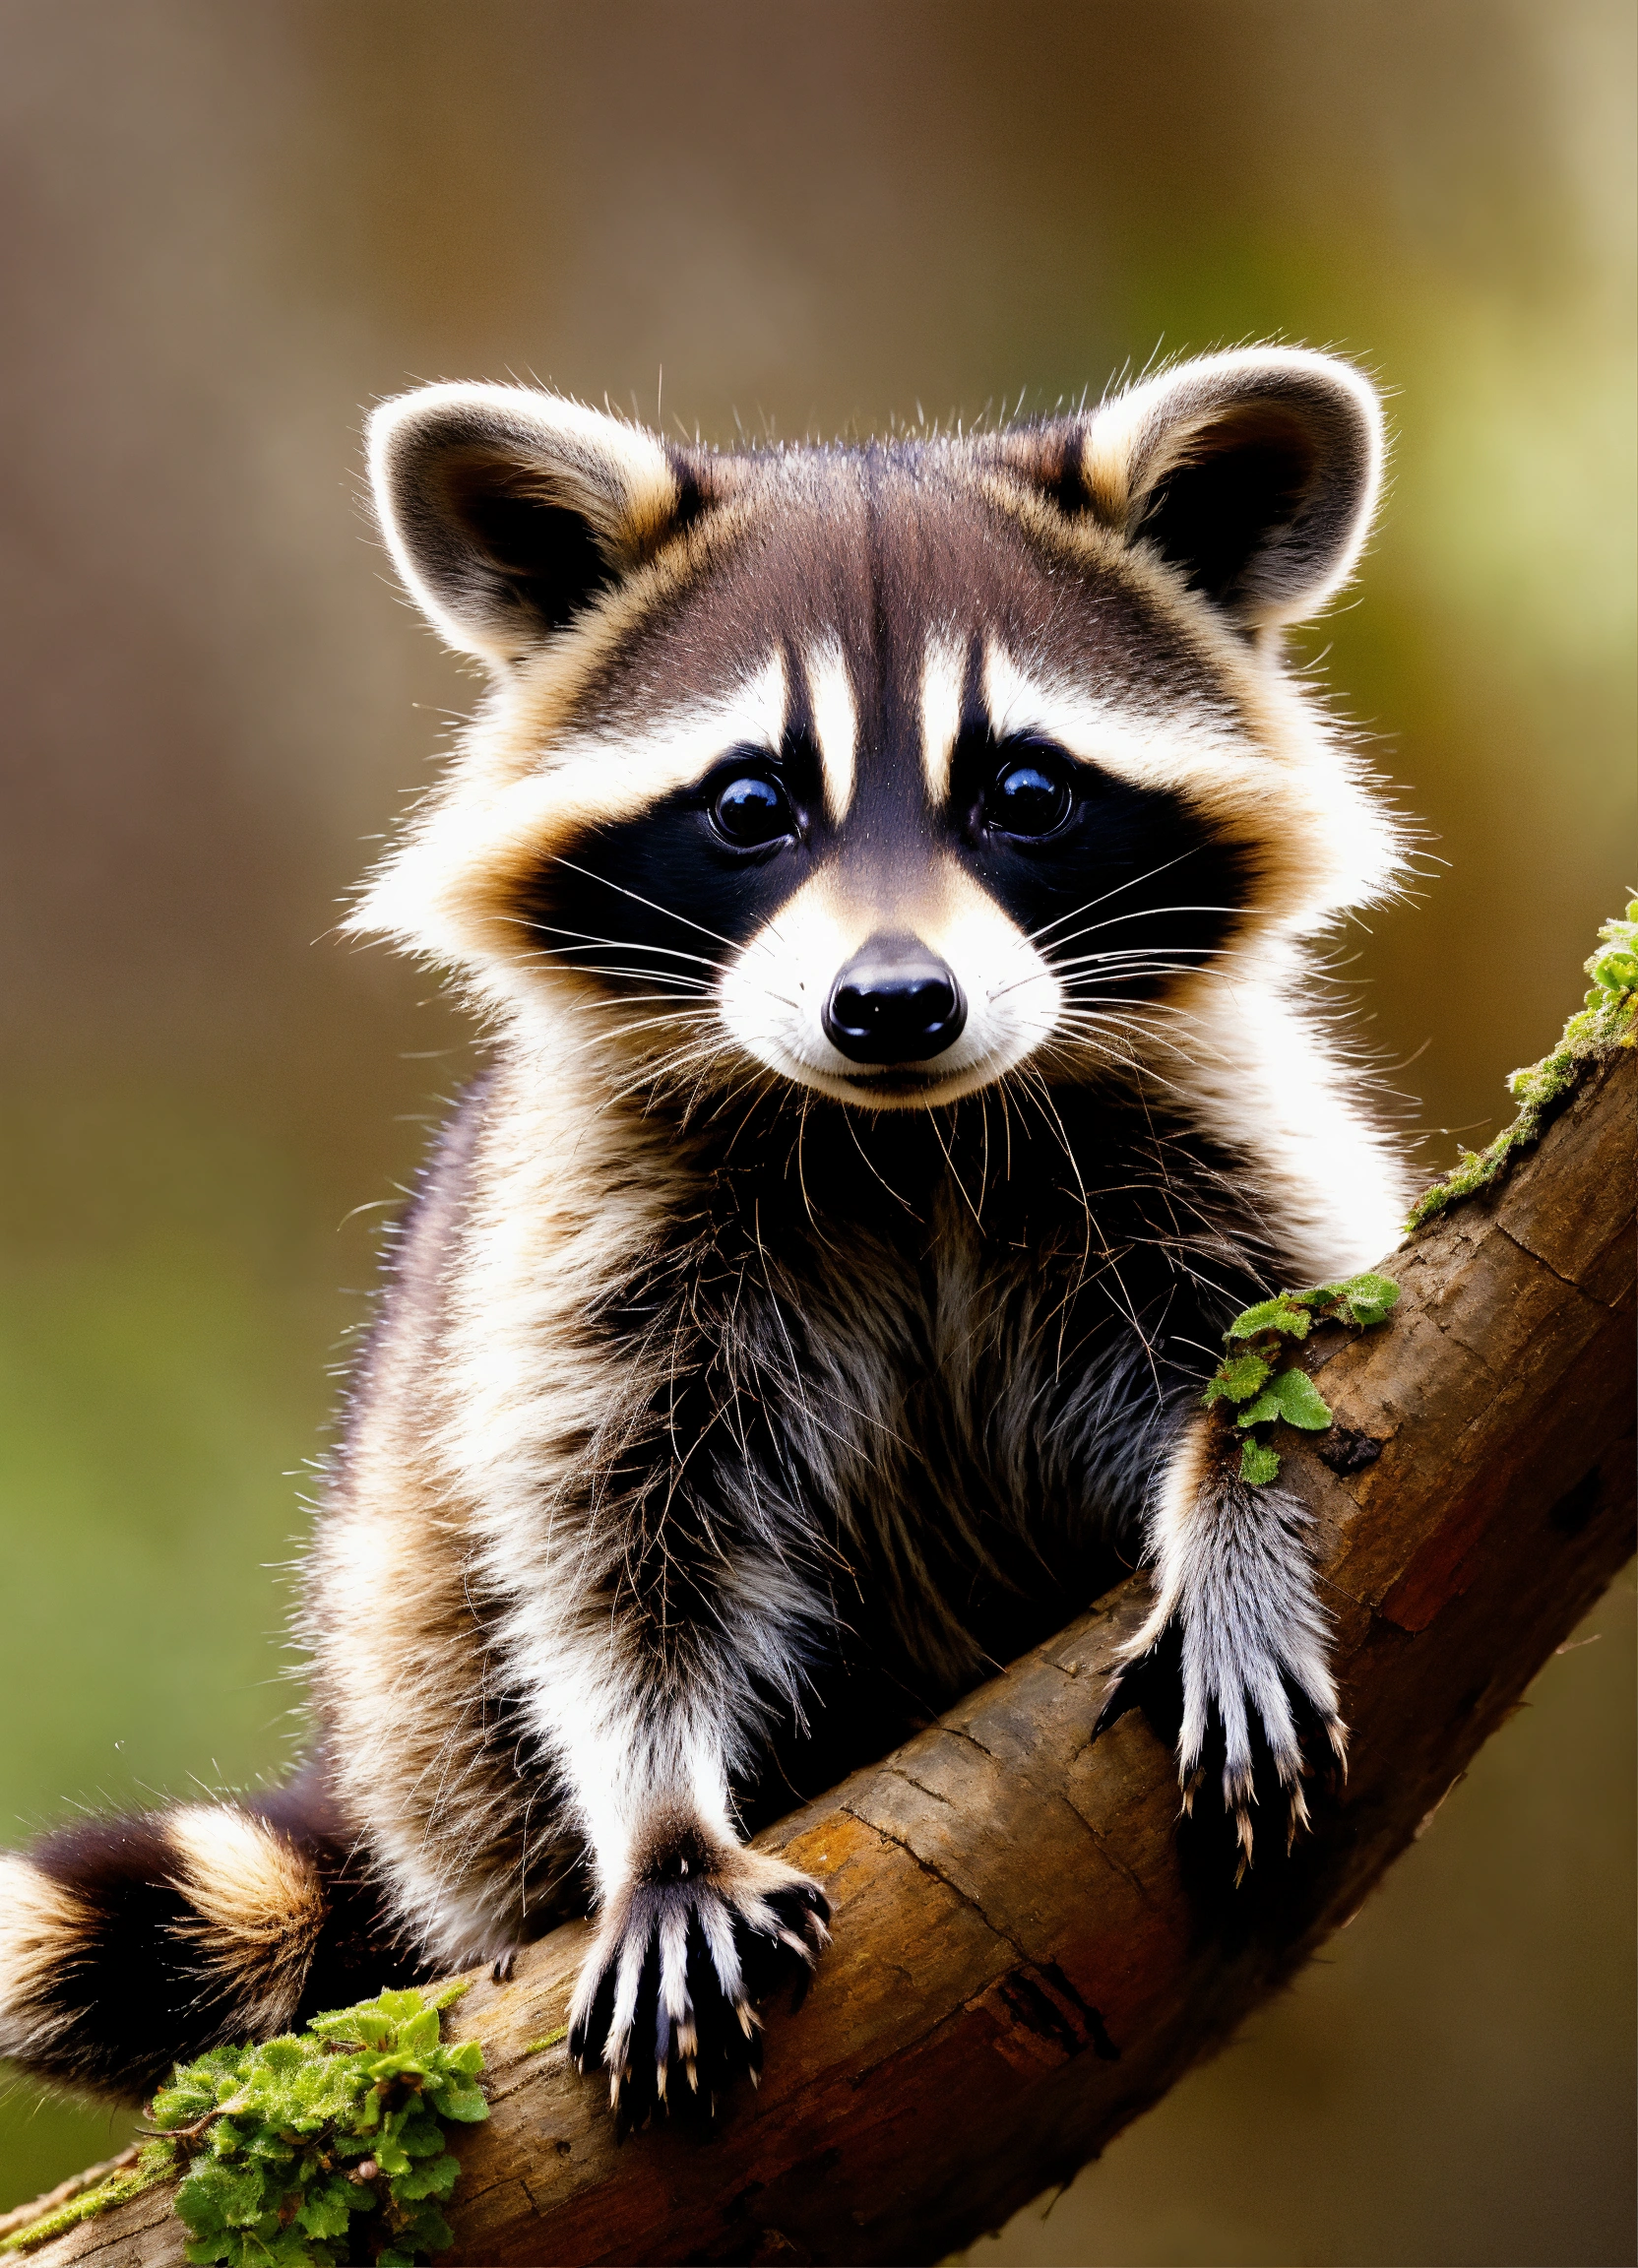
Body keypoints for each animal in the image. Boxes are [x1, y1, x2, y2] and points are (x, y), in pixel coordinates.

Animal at [0, 348, 1408, 2122]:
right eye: (750, 804)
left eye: (1023, 793)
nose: (892, 1003)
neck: (903, 1133)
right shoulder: (597, 1234)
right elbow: (614, 1546)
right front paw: (662, 1820)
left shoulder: (1211, 1122)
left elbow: (1288, 1340)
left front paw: (1236, 1516)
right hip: (425, 1686)